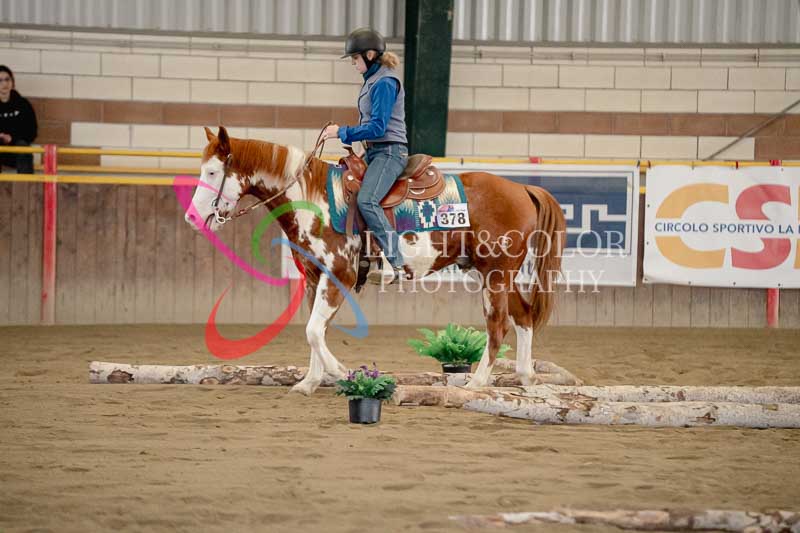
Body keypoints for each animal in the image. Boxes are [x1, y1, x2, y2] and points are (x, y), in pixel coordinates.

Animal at [185, 126, 566, 395]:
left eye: (213, 173)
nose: (191, 216)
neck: (314, 199)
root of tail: (522, 189)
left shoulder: (339, 275)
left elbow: (314, 331)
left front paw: (342, 373)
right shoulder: (314, 277)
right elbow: (314, 330)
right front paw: (309, 382)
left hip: (496, 274)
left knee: (498, 325)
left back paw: (477, 382)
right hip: (494, 273)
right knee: (523, 317)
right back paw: (526, 377)